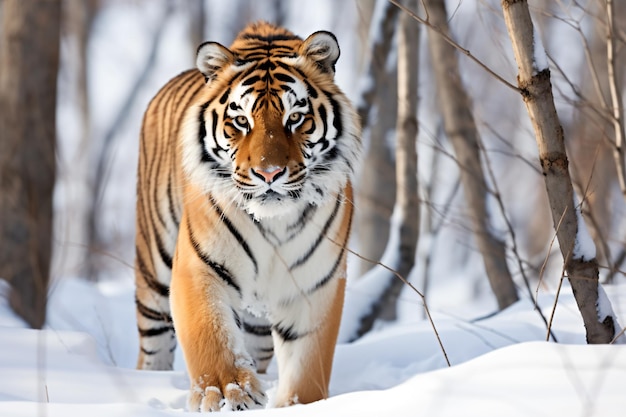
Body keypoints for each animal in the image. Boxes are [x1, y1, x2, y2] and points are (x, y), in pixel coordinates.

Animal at [133, 21, 360, 412]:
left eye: (295, 117)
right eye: (240, 121)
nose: (269, 173)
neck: (274, 222)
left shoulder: (314, 285)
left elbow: (307, 367)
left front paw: (299, 406)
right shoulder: (199, 266)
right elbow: (210, 336)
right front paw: (228, 393)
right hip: (153, 274)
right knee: (153, 347)